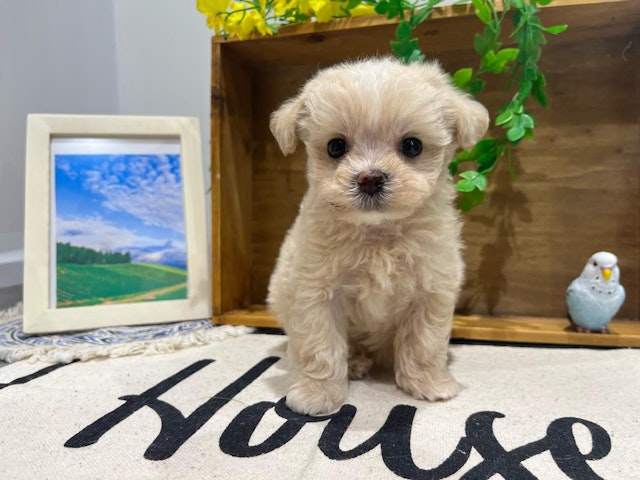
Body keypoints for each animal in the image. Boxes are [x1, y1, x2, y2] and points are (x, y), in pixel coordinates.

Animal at [268, 57, 488, 416]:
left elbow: (424, 342)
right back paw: (355, 361)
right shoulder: (316, 290)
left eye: (412, 146)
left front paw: (429, 384)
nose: (369, 178)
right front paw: (317, 394)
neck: (378, 231)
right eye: (335, 146)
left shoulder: (432, 288)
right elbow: (320, 345)